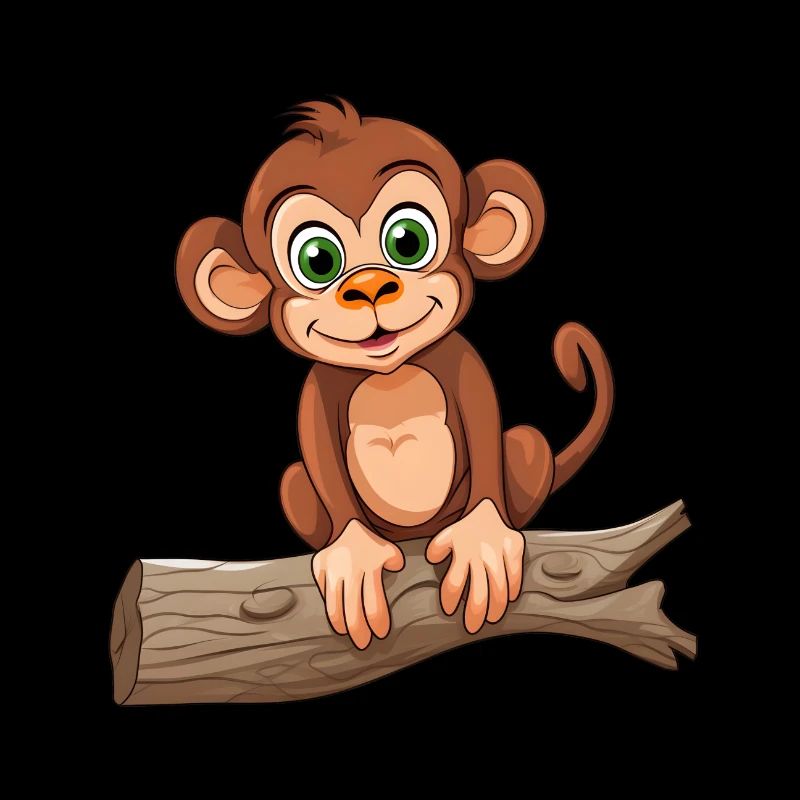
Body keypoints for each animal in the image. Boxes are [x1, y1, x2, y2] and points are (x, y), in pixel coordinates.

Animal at [176, 97, 613, 650]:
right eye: (317, 260)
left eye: (408, 241)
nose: (368, 287)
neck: (390, 372)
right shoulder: (318, 387)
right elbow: (319, 452)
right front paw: (352, 553)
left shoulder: (462, 361)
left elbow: (484, 426)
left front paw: (483, 537)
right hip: (299, 492)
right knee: (296, 481)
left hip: (523, 456)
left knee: (525, 443)